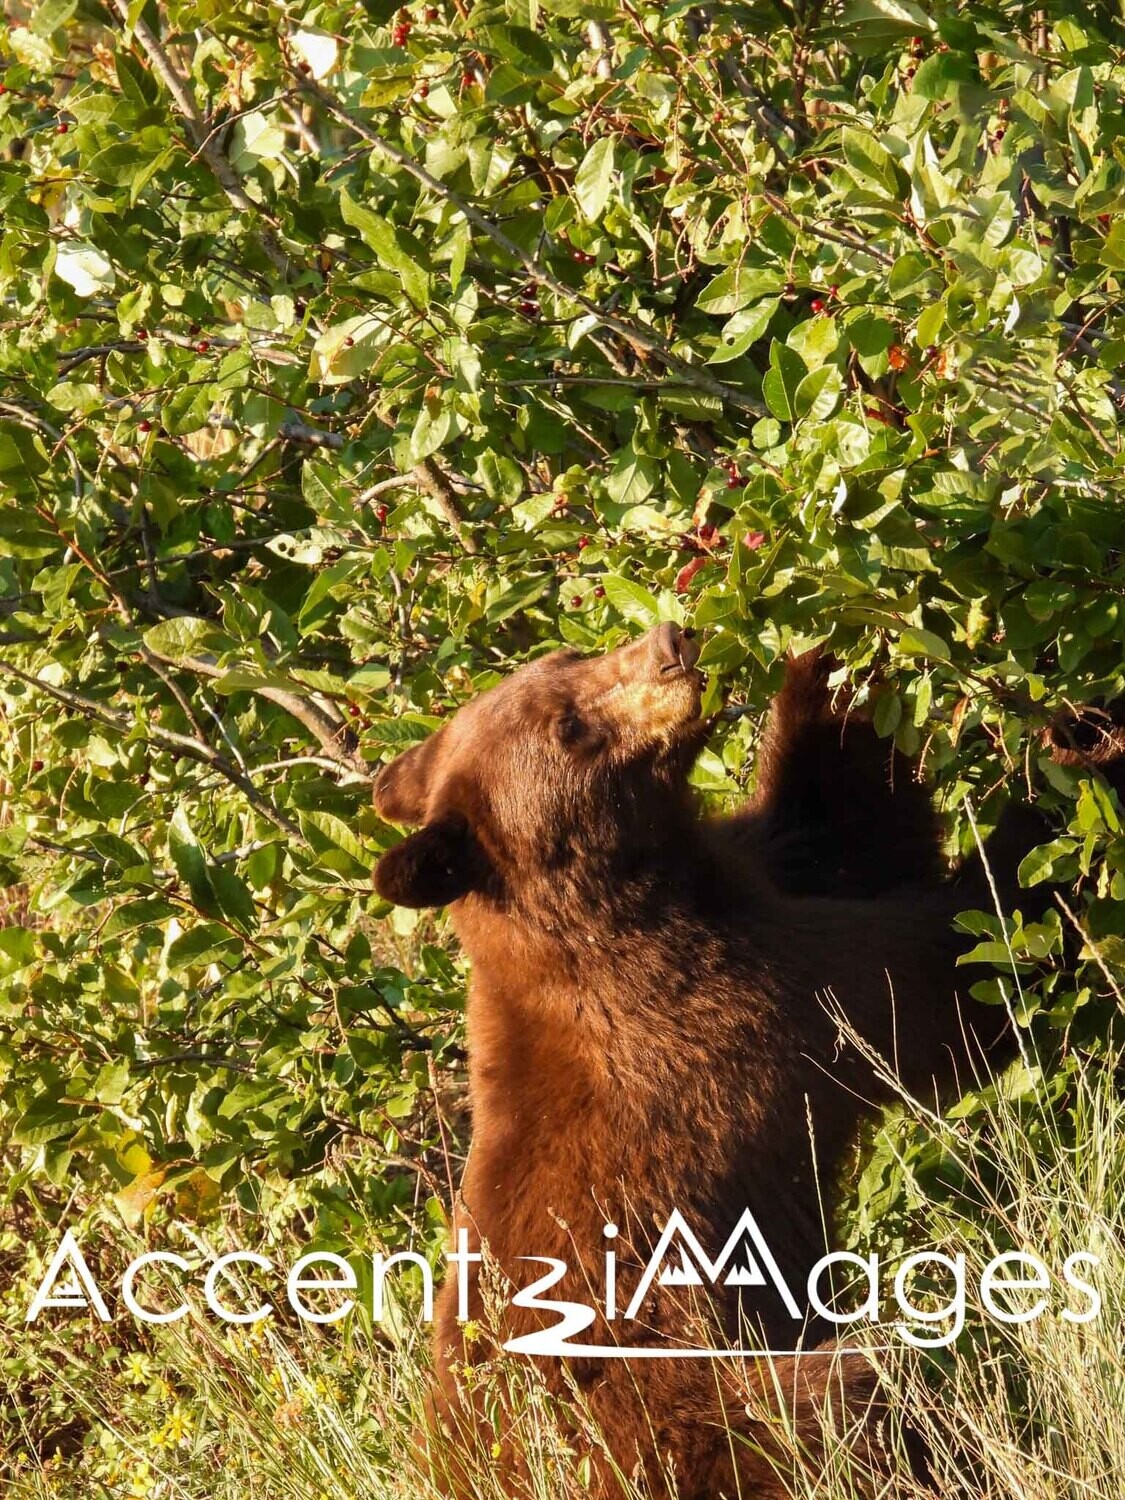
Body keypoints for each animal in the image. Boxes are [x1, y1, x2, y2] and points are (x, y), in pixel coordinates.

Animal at [370, 623, 1094, 1499]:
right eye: (566, 726)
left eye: (563, 660)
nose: (669, 643)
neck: (637, 891)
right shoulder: (744, 1004)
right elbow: (940, 983)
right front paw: (1076, 768)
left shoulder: (752, 869)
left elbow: (841, 814)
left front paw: (823, 647)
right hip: (693, 1414)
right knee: (853, 1392)